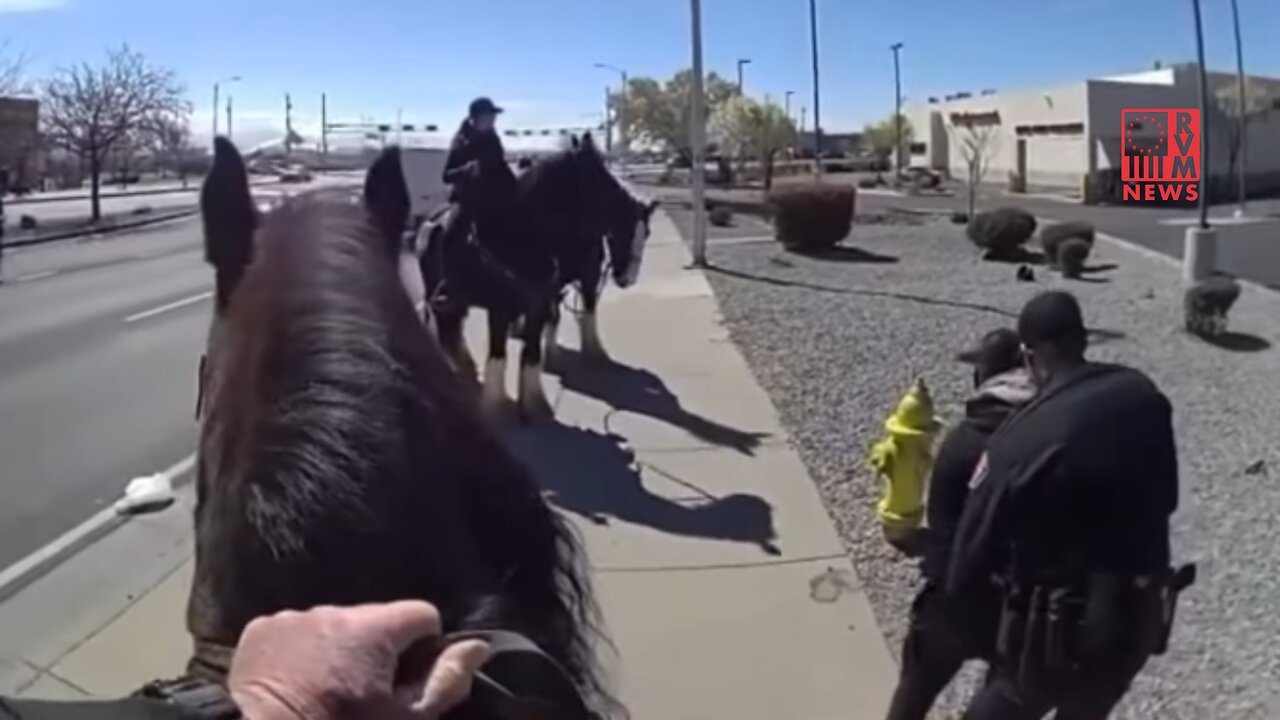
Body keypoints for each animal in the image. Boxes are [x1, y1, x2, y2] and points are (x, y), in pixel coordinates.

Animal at [419, 134, 660, 420]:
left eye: (646, 234)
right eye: (624, 228)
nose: (627, 279)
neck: (524, 237)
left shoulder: (550, 294)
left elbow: (536, 346)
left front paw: (536, 402)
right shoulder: (501, 306)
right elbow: (499, 354)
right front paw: (496, 409)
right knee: (446, 326)